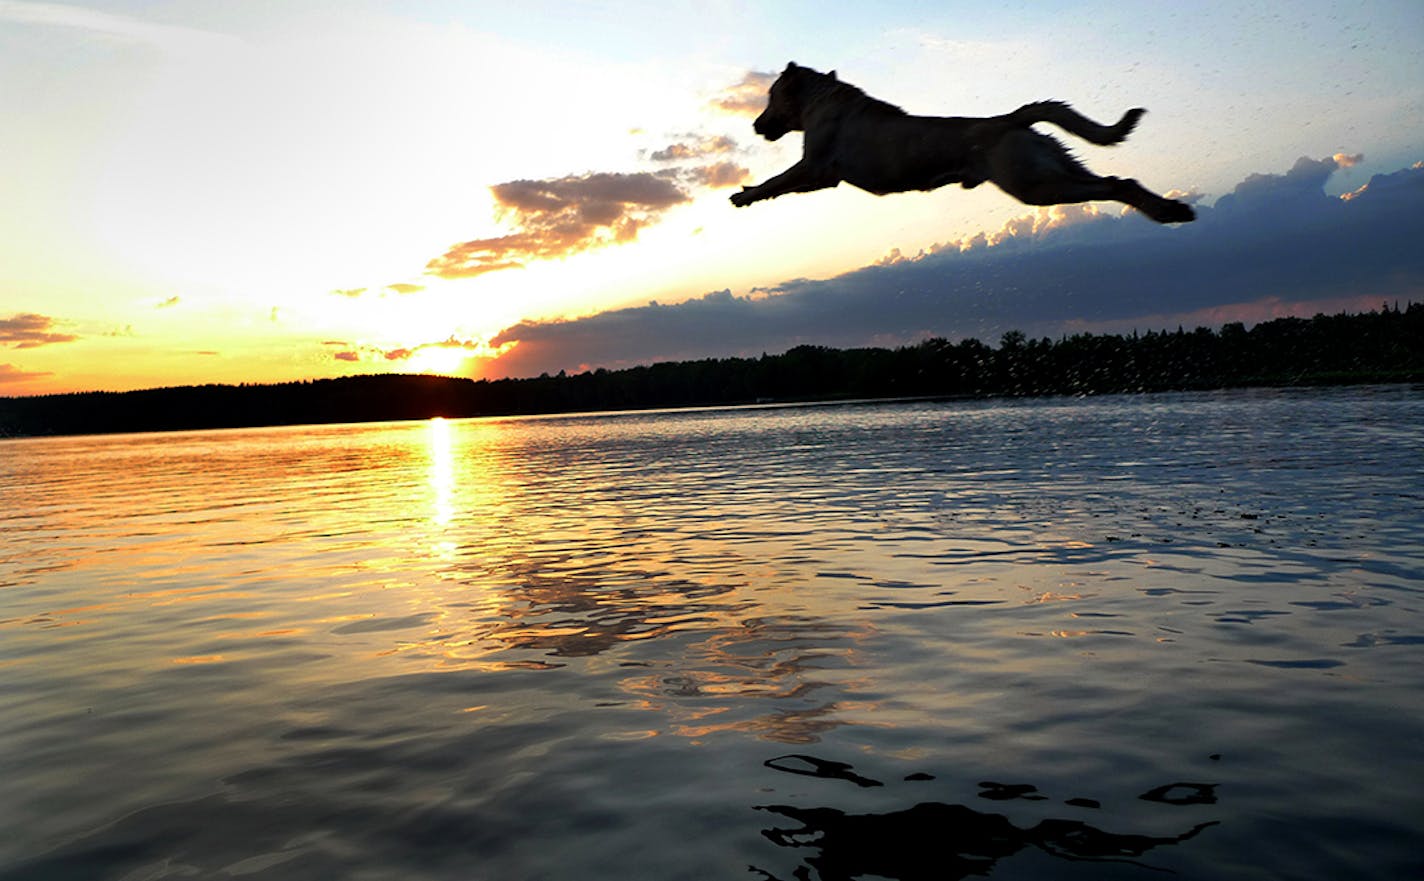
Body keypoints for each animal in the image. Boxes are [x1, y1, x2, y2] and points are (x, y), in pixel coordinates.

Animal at [734, 62, 1190, 226]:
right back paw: (1171, 210)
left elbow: (776, 180)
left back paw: (1167, 212)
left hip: (1035, 185)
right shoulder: (821, 176)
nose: (756, 125)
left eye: (769, 96)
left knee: (1114, 184)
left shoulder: (815, 168)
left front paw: (745, 194)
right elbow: (780, 185)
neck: (821, 100)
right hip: (1055, 167)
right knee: (1121, 180)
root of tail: (1011, 118)